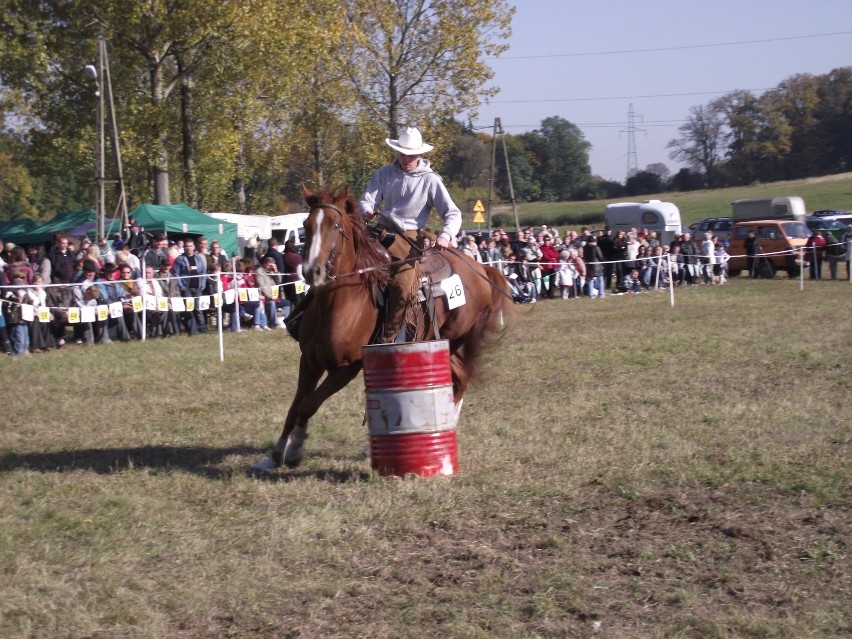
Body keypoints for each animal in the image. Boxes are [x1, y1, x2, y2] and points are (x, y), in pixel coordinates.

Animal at [250, 185, 510, 476]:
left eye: (336, 225)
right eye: (306, 225)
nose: (311, 271)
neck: (341, 301)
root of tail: (481, 268)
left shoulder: (347, 368)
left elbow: (308, 404)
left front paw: (295, 450)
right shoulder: (309, 361)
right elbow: (295, 407)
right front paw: (274, 457)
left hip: (451, 339)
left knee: (461, 379)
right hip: (437, 341)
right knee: (461, 377)